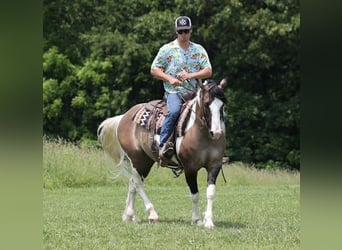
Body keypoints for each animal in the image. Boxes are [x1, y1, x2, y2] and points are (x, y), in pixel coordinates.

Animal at [97, 78, 227, 229]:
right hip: (137, 160)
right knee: (137, 183)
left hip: (145, 161)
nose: (216, 133)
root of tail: (124, 116)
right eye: (206, 104)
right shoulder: (190, 168)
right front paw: (197, 219)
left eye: (222, 105)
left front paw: (209, 221)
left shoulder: (214, 165)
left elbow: (210, 193)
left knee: (133, 183)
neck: (201, 135)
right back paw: (152, 214)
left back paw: (130, 216)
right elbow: (194, 195)